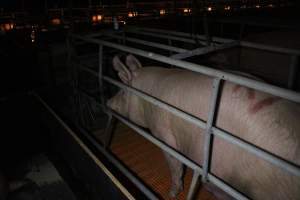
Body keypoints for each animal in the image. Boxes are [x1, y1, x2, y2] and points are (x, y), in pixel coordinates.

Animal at [107, 54, 300, 200]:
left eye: (122, 91)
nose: (108, 102)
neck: (146, 100)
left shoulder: (163, 133)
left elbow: (174, 164)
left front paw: (172, 193)